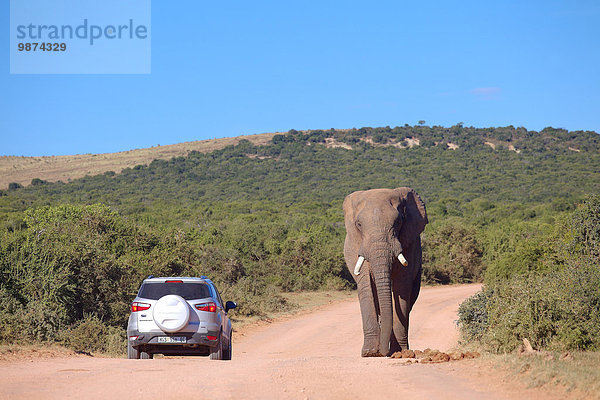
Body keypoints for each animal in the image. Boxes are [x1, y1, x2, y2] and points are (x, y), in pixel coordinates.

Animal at [342, 188, 426, 356]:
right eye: (359, 224)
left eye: (399, 222)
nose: (382, 351)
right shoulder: (357, 245)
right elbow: (366, 287)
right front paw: (370, 353)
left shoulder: (409, 244)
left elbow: (401, 288)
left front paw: (399, 351)